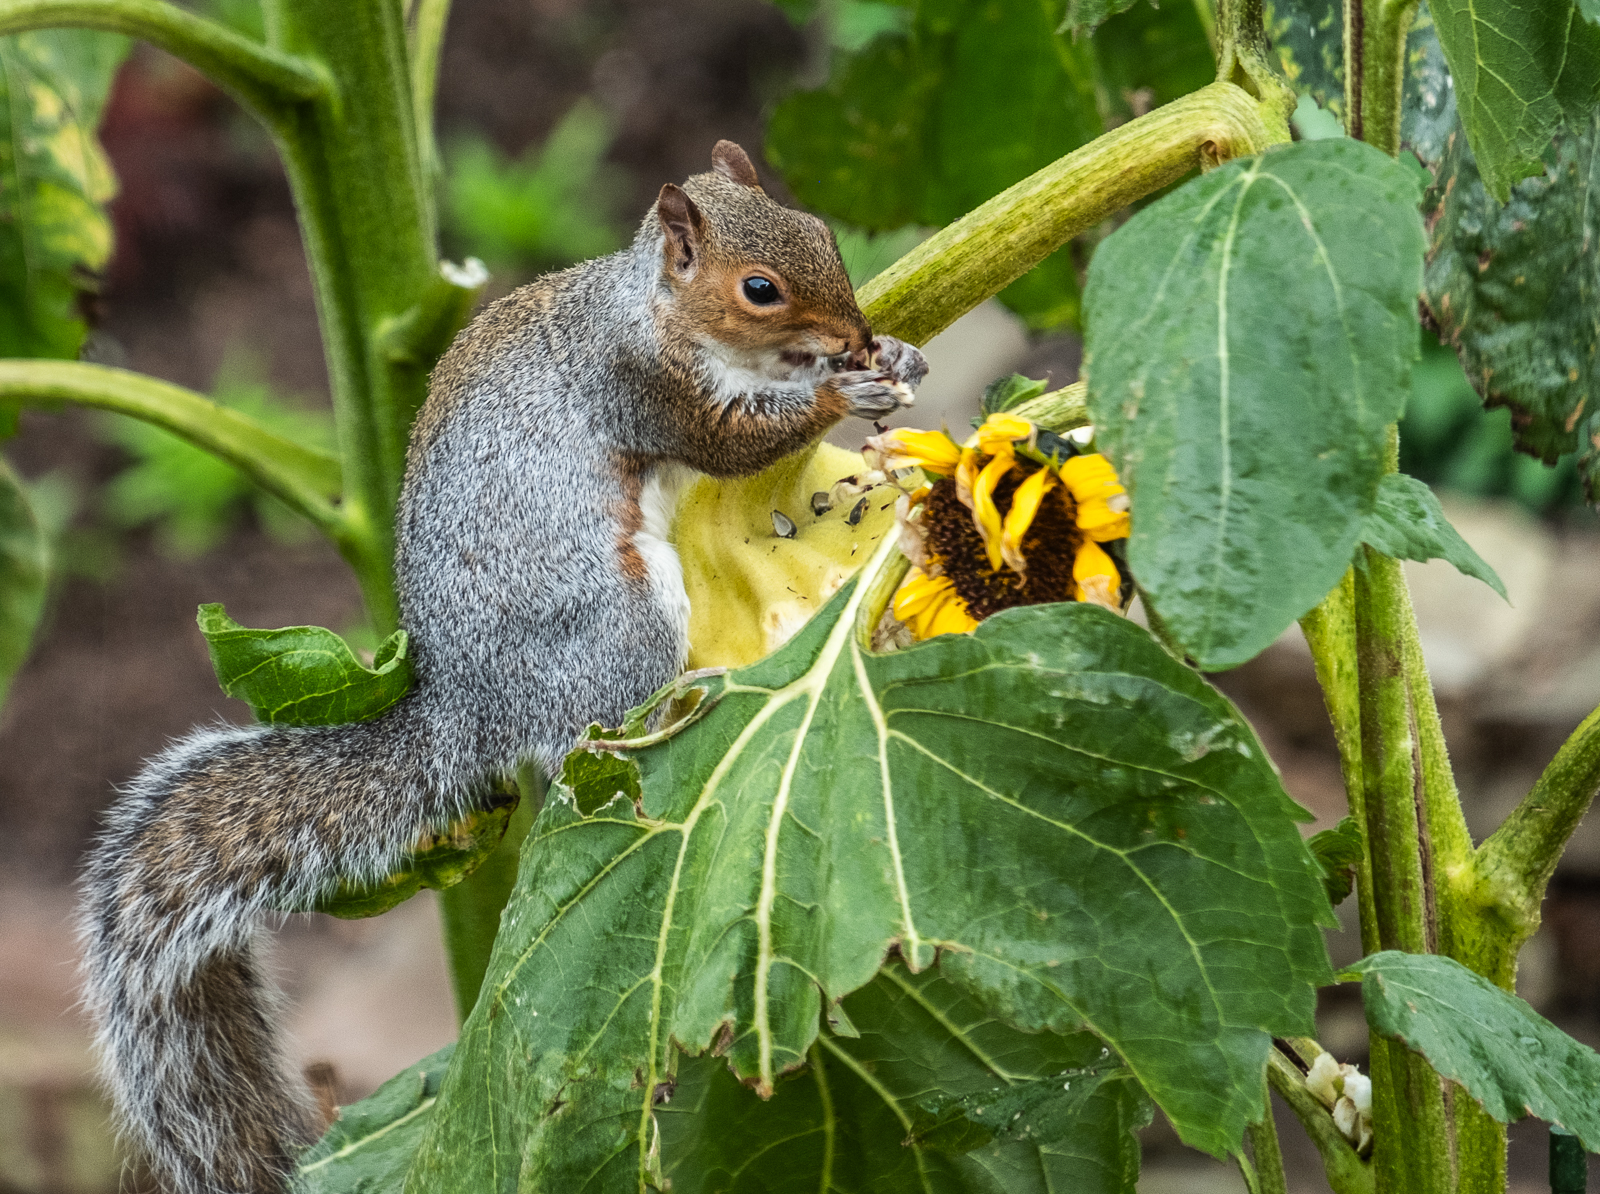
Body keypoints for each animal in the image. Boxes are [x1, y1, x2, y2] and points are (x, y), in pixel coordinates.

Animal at [81, 141, 934, 1190]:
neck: (651, 309)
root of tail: (471, 711)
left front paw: (894, 359)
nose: (854, 336)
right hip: (626, 623)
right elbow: (734, 444)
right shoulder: (642, 385)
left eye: (819, 231)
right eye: (760, 289)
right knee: (585, 739)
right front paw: (840, 394)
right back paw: (676, 707)